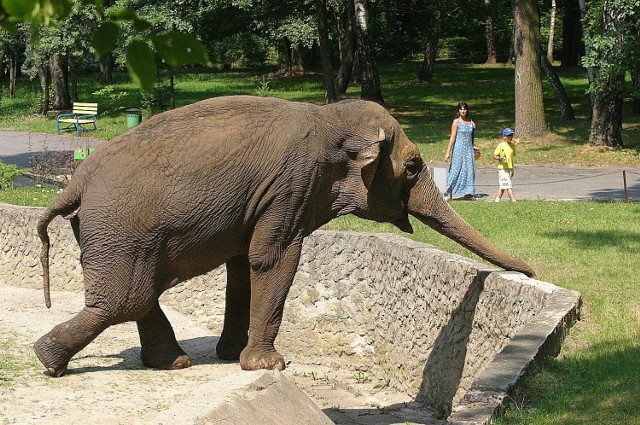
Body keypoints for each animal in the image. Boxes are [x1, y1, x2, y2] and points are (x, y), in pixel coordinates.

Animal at [35, 94, 536, 376]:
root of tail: (76, 181)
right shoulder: (291, 185)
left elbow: (242, 266)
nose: (533, 274)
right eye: (412, 167)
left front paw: (231, 355)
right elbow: (272, 258)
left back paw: (171, 362)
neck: (328, 118)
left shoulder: (264, 198)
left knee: (140, 295)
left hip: (113, 233)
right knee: (125, 299)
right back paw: (48, 361)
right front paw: (267, 366)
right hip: (120, 229)